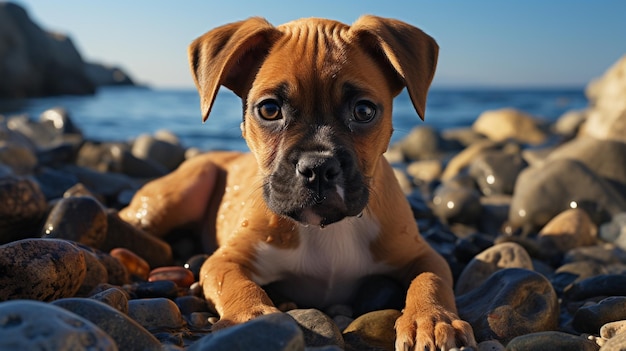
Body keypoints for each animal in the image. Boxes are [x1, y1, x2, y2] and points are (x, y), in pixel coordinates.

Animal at [120, 15, 472, 350]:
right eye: (269, 109)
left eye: (363, 111)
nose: (318, 167)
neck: (327, 228)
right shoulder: (226, 260)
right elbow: (237, 284)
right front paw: (251, 320)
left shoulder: (423, 254)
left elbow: (431, 281)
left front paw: (432, 320)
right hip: (184, 188)